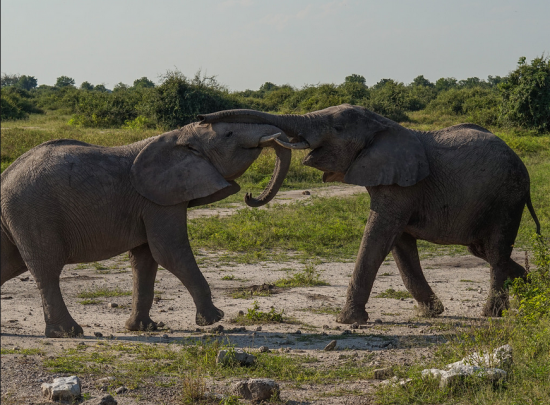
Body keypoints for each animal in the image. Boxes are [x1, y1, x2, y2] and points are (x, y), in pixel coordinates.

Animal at [0, 121, 292, 336]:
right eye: (229, 134)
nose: (251, 196)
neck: (177, 137)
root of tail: (5, 178)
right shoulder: (158, 201)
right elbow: (170, 252)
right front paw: (213, 320)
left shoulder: (149, 203)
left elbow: (145, 260)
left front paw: (142, 328)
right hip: (33, 213)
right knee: (47, 269)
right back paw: (69, 332)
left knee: (12, 264)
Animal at [198, 103, 544, 322]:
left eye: (337, 127)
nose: (201, 118)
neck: (383, 124)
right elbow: (400, 245)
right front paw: (432, 313)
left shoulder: (402, 186)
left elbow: (379, 235)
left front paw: (348, 321)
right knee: (484, 250)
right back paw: (536, 287)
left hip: (506, 197)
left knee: (495, 250)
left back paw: (493, 313)